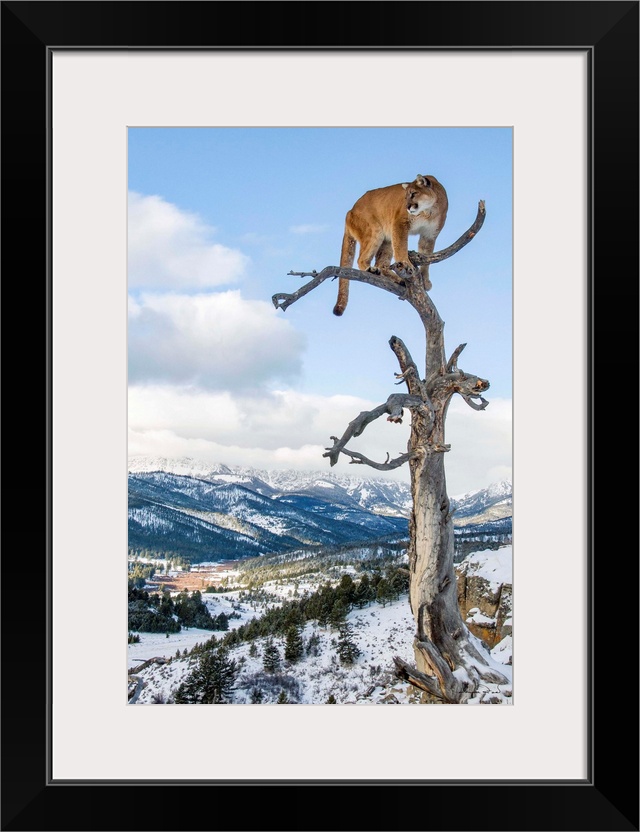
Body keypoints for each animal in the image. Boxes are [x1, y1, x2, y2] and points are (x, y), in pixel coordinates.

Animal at [332, 175, 448, 316]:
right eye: (405, 197)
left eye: (413, 194)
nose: (407, 207)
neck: (428, 212)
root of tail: (350, 211)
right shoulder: (399, 224)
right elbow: (401, 246)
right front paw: (406, 263)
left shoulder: (429, 235)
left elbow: (426, 258)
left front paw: (425, 280)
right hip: (375, 231)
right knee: (362, 259)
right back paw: (371, 269)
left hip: (387, 240)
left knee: (381, 264)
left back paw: (399, 280)